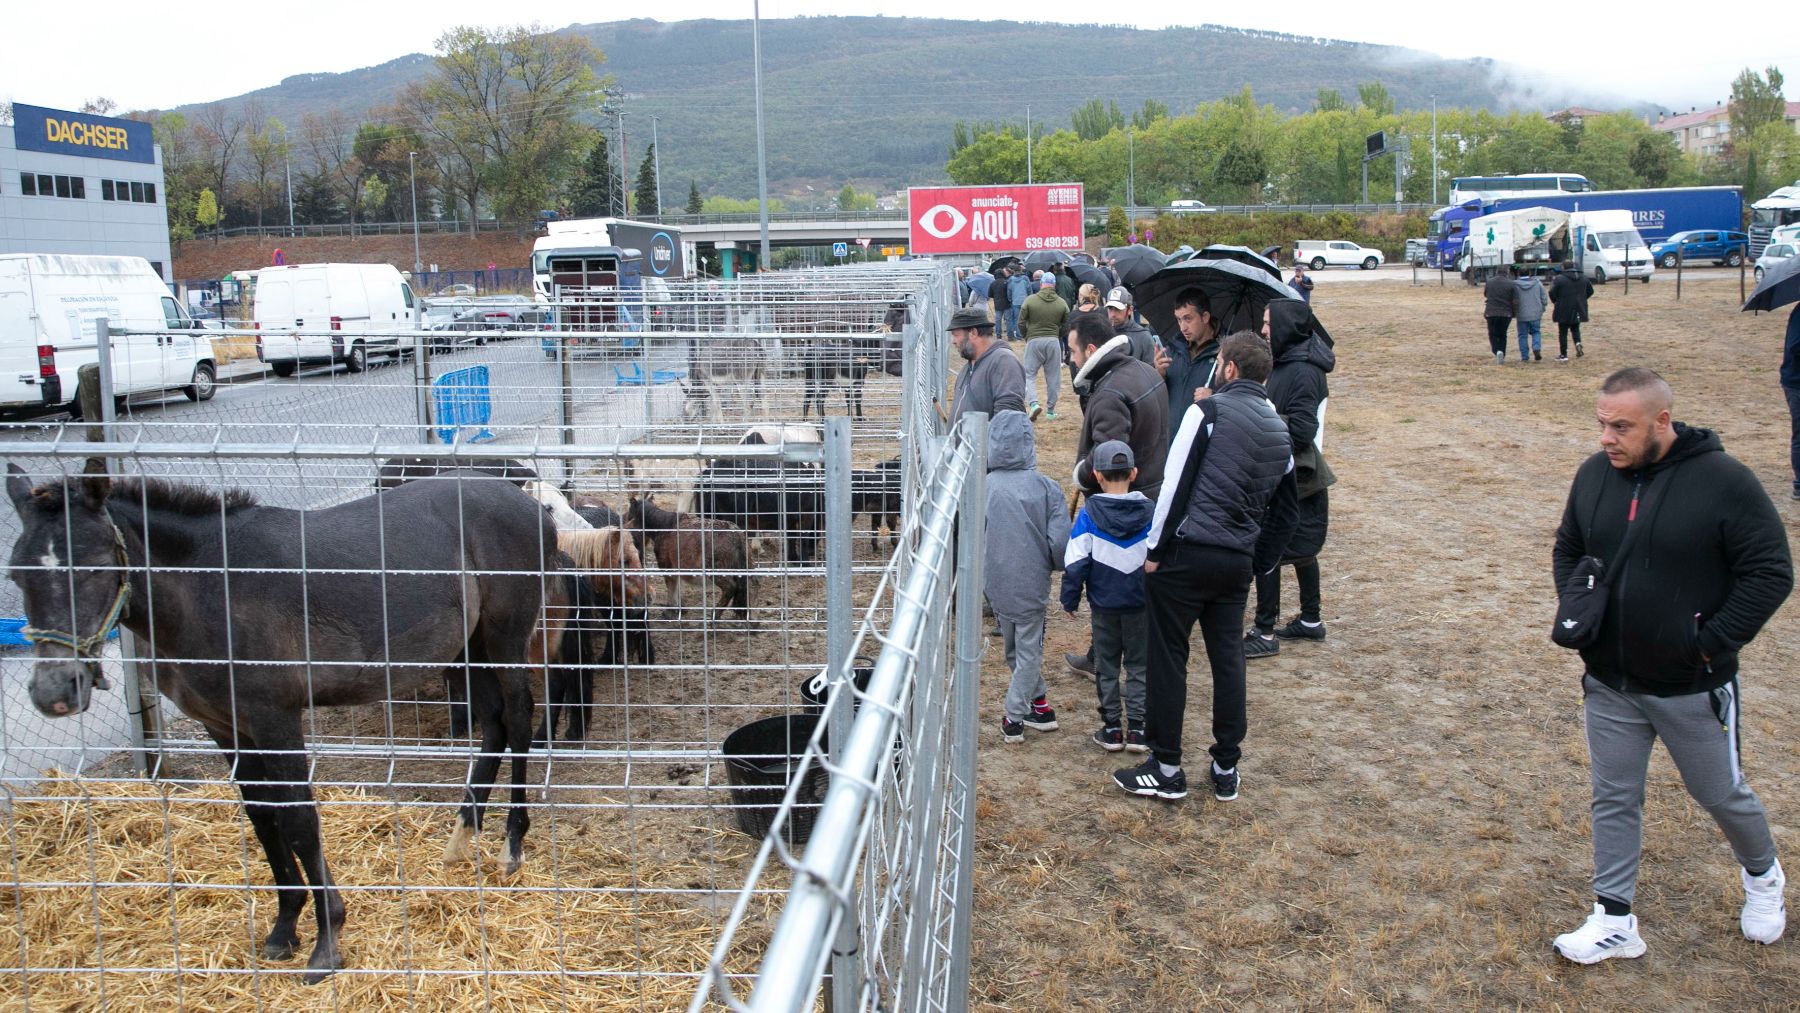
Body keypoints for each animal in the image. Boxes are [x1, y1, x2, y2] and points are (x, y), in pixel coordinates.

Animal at [7, 464, 565, 986]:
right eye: (16, 574)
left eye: (96, 565)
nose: (55, 692)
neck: (211, 586)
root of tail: (530, 505)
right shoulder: (226, 727)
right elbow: (262, 817)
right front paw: (283, 928)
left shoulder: (276, 719)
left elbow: (298, 820)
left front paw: (327, 942)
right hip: (467, 648)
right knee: (493, 723)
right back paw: (461, 837)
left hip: (504, 636)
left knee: (518, 719)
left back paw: (511, 846)